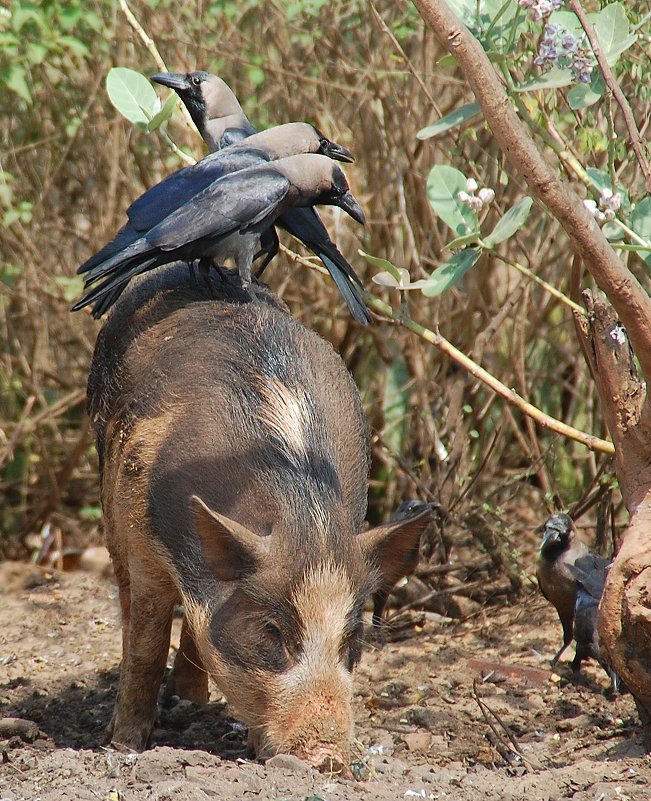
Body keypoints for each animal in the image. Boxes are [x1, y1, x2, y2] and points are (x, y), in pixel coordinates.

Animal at [86, 266, 432, 772]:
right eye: (272, 633)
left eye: (351, 640)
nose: (327, 755)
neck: (303, 514)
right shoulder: (143, 538)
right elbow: (147, 647)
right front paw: (125, 746)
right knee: (128, 605)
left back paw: (191, 697)